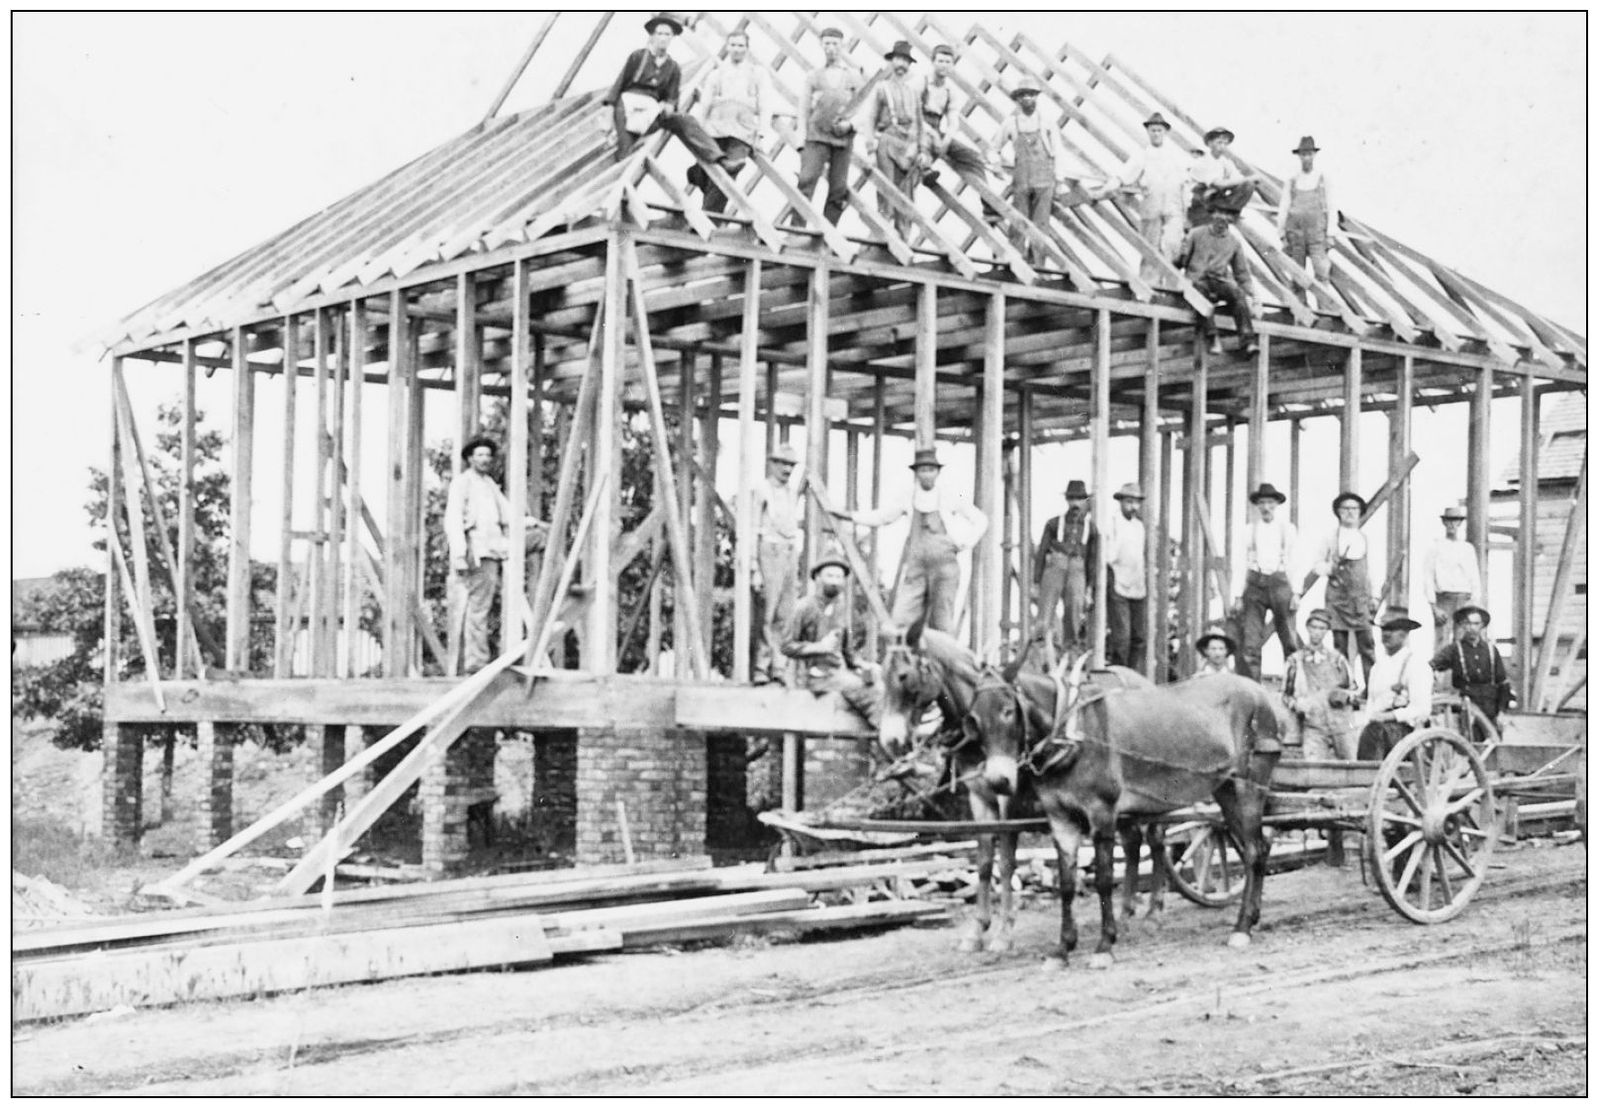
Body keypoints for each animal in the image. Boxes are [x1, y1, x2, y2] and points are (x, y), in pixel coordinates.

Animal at [958, 673, 1283, 971]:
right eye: (974, 719)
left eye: (1008, 712)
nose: (998, 781)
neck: (1070, 734)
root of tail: (1257, 689)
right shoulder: (1061, 821)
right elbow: (1066, 885)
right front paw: (1062, 950)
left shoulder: (1102, 814)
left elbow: (1103, 880)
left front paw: (1104, 946)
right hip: (1225, 790)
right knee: (1257, 847)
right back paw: (1251, 917)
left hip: (1250, 783)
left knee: (1253, 850)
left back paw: (1241, 928)